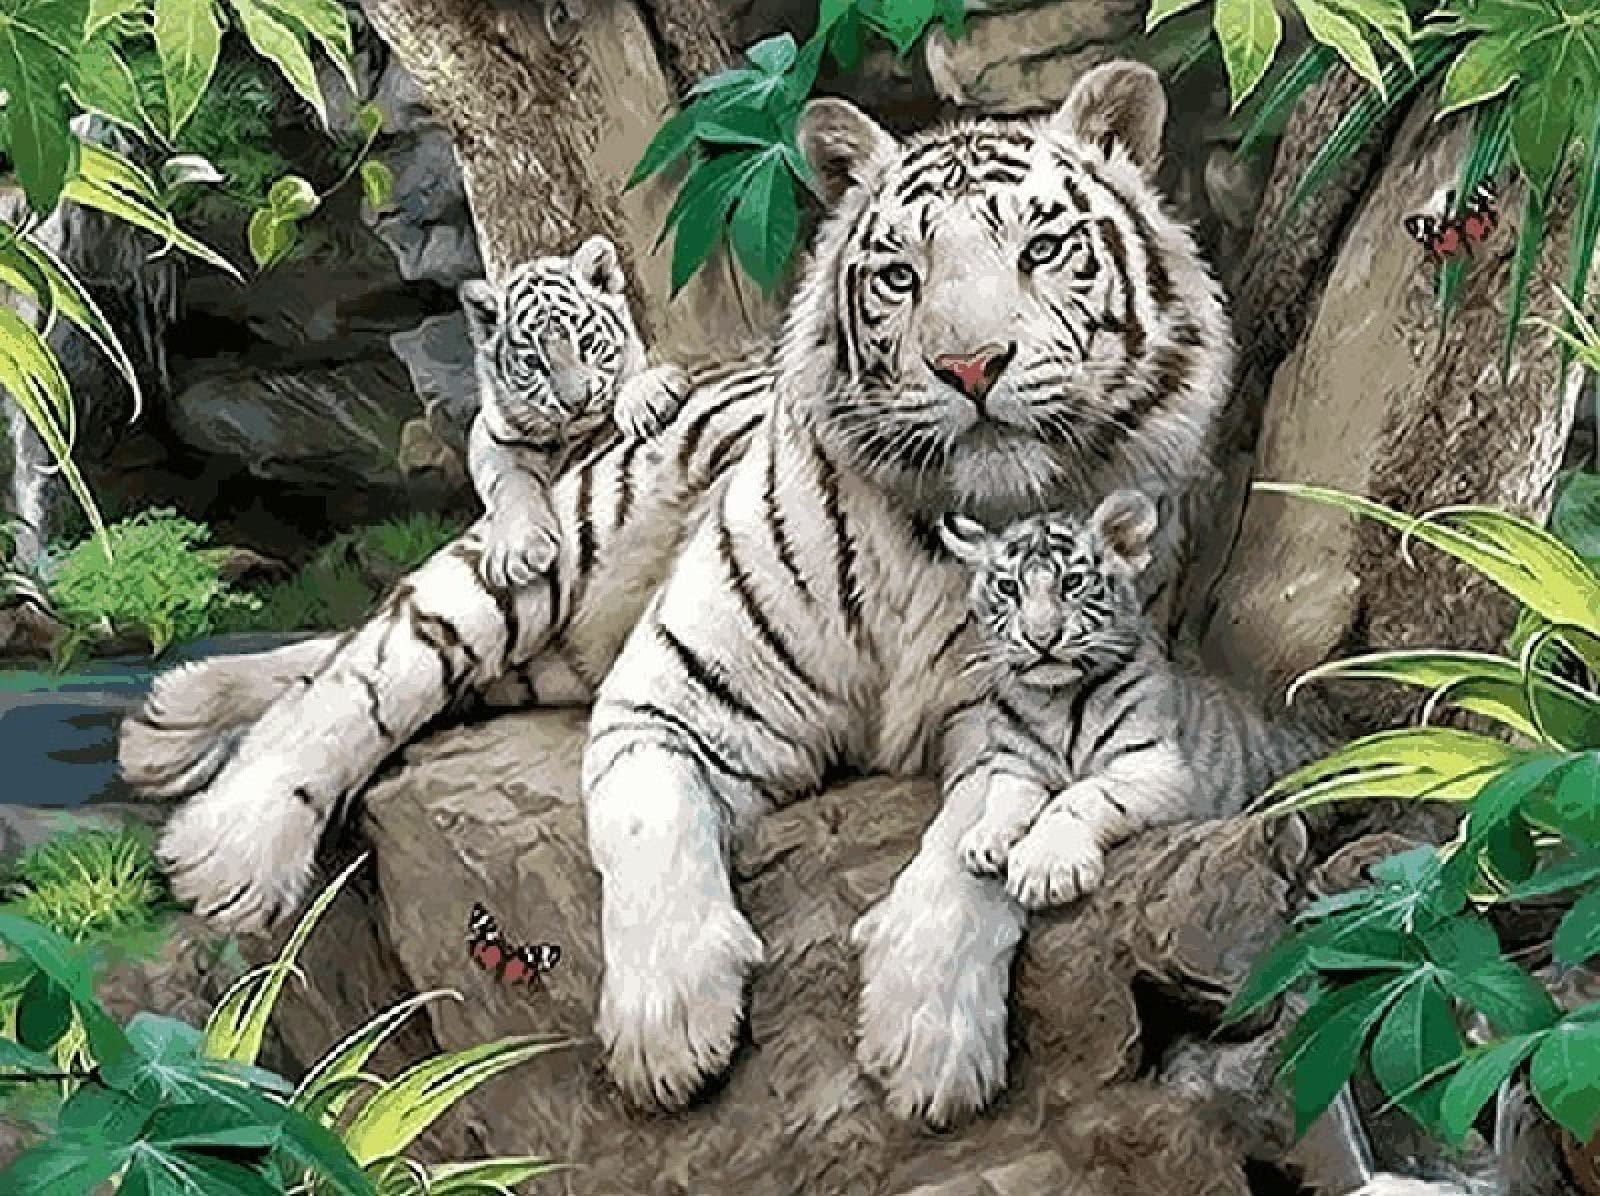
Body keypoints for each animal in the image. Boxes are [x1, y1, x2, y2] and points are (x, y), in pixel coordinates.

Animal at [461, 233, 689, 589]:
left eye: (585, 343)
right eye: (533, 362)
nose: (577, 401)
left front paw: (646, 401)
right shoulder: (490, 431)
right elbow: (507, 479)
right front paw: (518, 549)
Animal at [940, 491, 1326, 909]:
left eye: (1072, 582)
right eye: (1009, 588)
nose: (1041, 638)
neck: (1052, 702)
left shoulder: (1157, 766)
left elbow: (1079, 797)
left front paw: (1045, 867)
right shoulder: (1018, 763)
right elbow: (1005, 795)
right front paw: (984, 838)